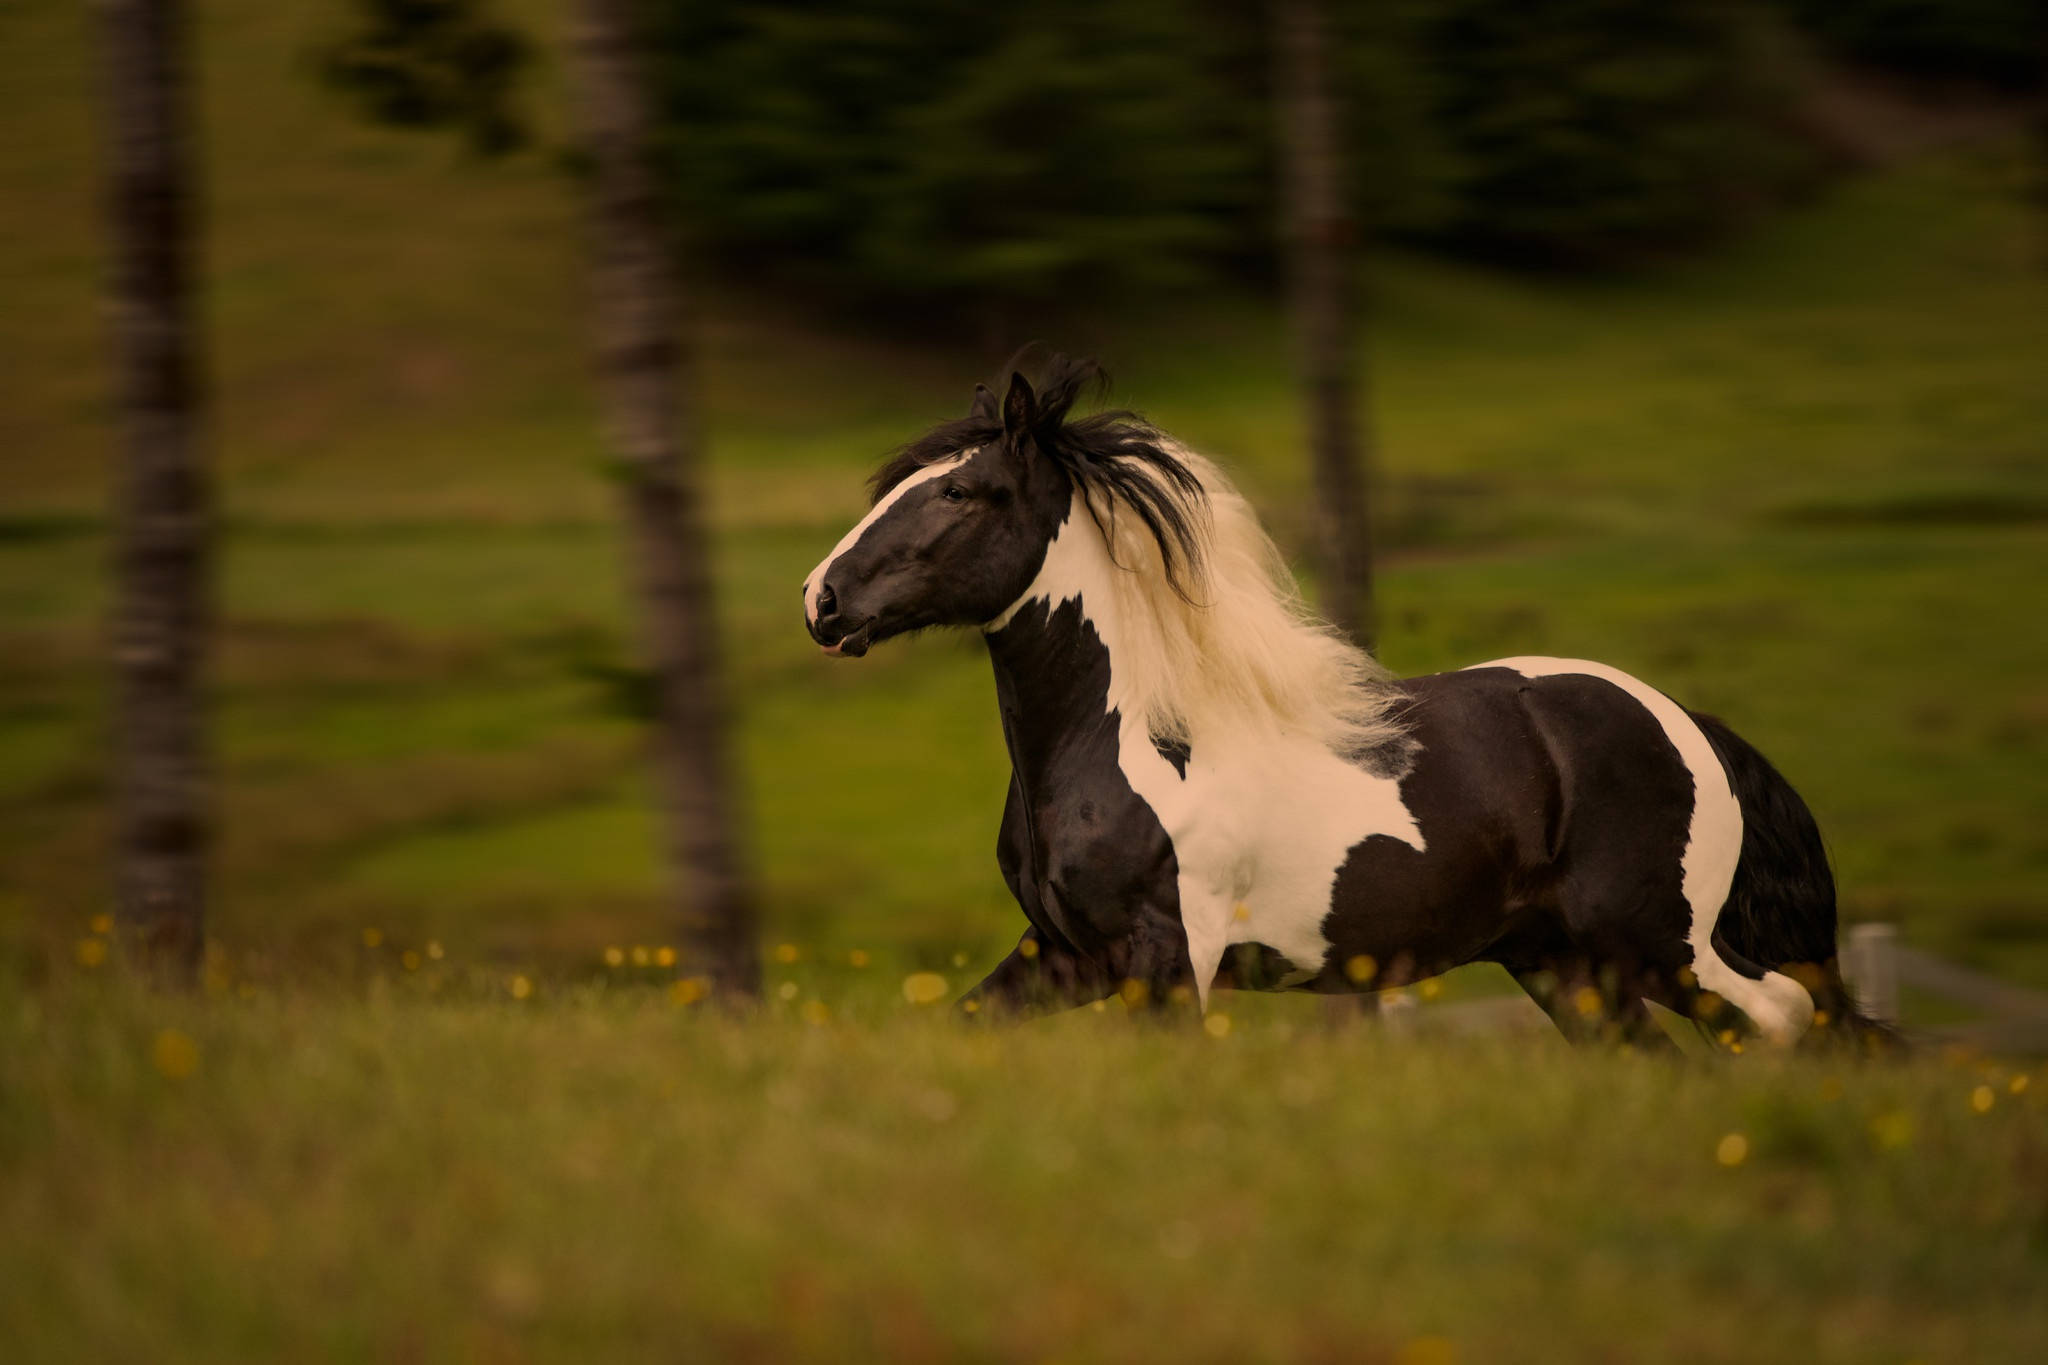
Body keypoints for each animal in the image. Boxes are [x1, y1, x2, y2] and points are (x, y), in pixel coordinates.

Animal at [801, 354, 1881, 1047]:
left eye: (960, 493)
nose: (820, 599)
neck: (1126, 743)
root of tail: (1689, 728)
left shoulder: (1165, 960)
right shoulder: (1064, 954)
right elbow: (956, 1030)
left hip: (1661, 942)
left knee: (1785, 1017)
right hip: (1565, 966)